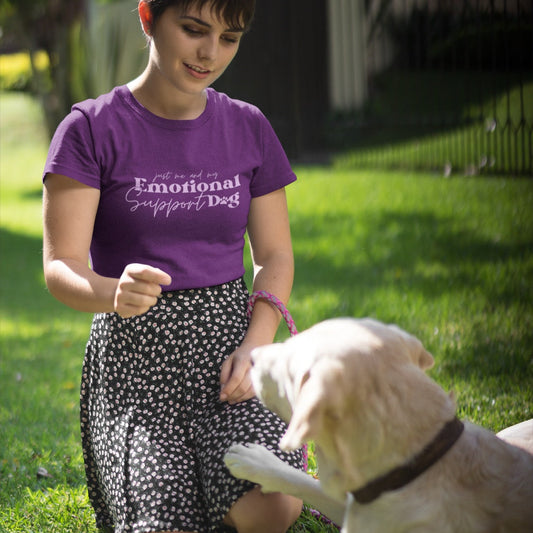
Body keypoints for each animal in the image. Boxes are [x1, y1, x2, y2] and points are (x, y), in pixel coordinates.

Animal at [224, 318, 532, 532]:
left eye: (290, 363)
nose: (251, 357)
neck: (415, 466)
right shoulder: (356, 507)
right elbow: (305, 482)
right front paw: (256, 460)